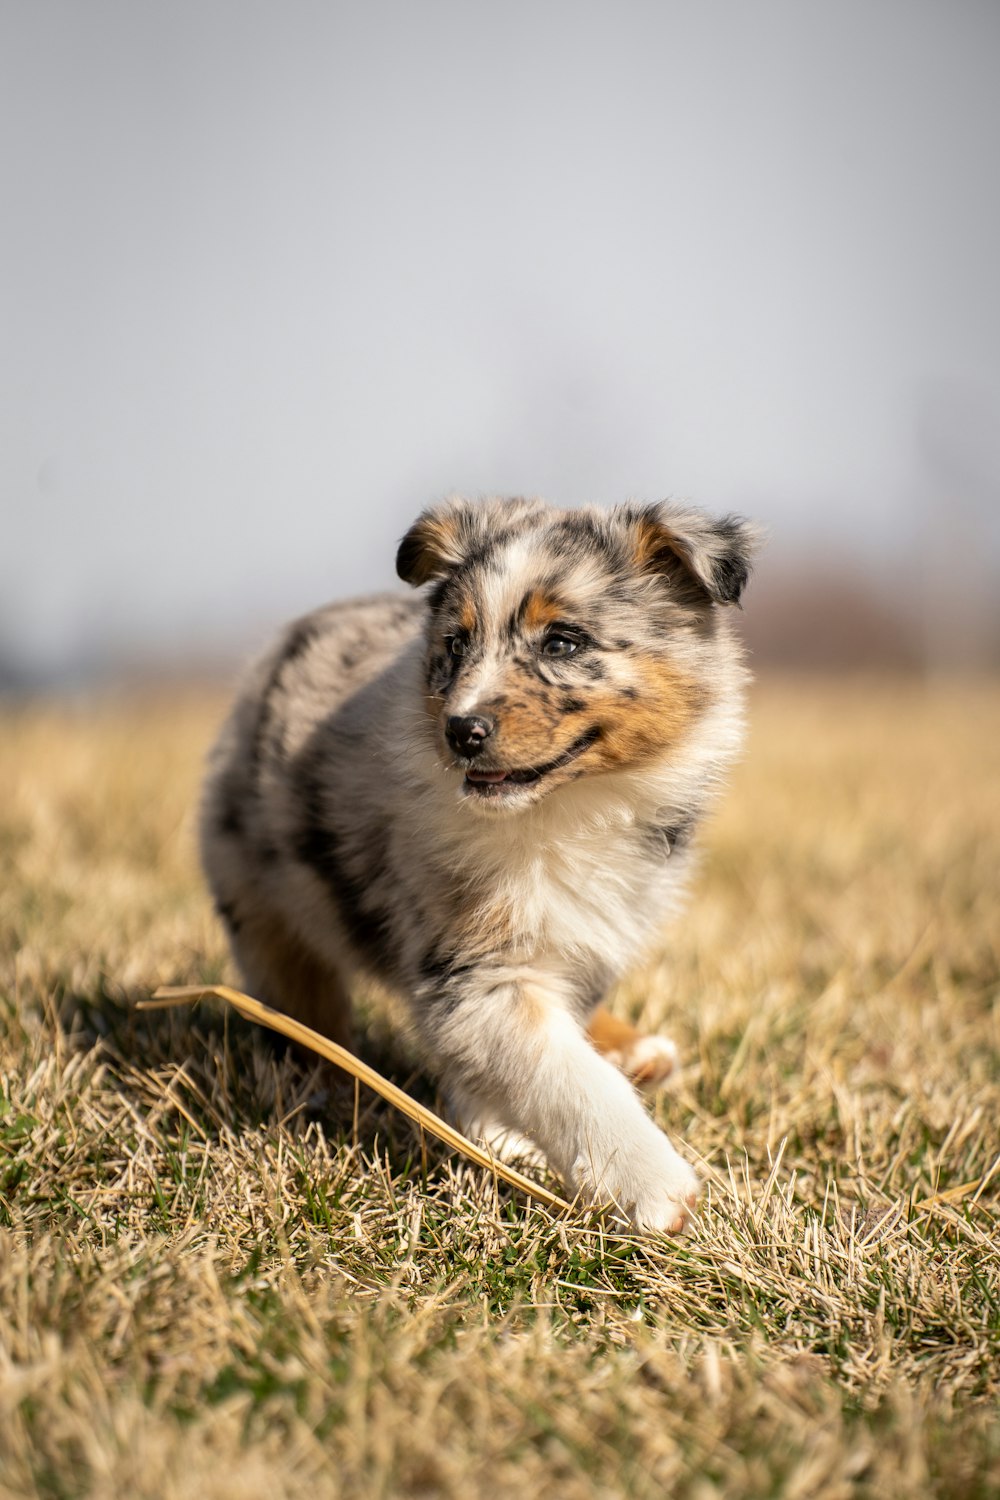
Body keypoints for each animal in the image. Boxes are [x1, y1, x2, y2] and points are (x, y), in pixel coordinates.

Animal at [199, 501, 755, 1230]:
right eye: (456, 646)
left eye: (561, 644)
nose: (460, 732)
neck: (568, 809)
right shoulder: (475, 971)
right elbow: (562, 1073)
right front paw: (653, 1186)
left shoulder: (599, 922)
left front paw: (500, 1135)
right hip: (259, 886)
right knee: (296, 990)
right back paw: (312, 1078)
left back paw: (634, 1049)